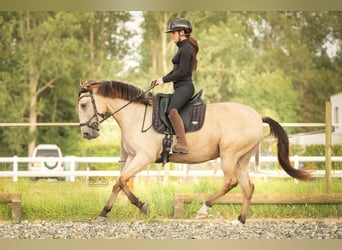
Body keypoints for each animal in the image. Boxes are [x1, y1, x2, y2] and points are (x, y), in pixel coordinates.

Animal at [78, 79, 312, 223]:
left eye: (83, 105)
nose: (87, 134)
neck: (135, 116)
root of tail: (257, 116)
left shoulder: (143, 157)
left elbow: (121, 180)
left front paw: (142, 206)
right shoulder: (133, 158)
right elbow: (120, 182)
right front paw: (105, 212)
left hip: (229, 155)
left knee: (230, 182)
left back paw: (204, 209)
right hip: (241, 159)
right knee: (248, 187)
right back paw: (240, 220)